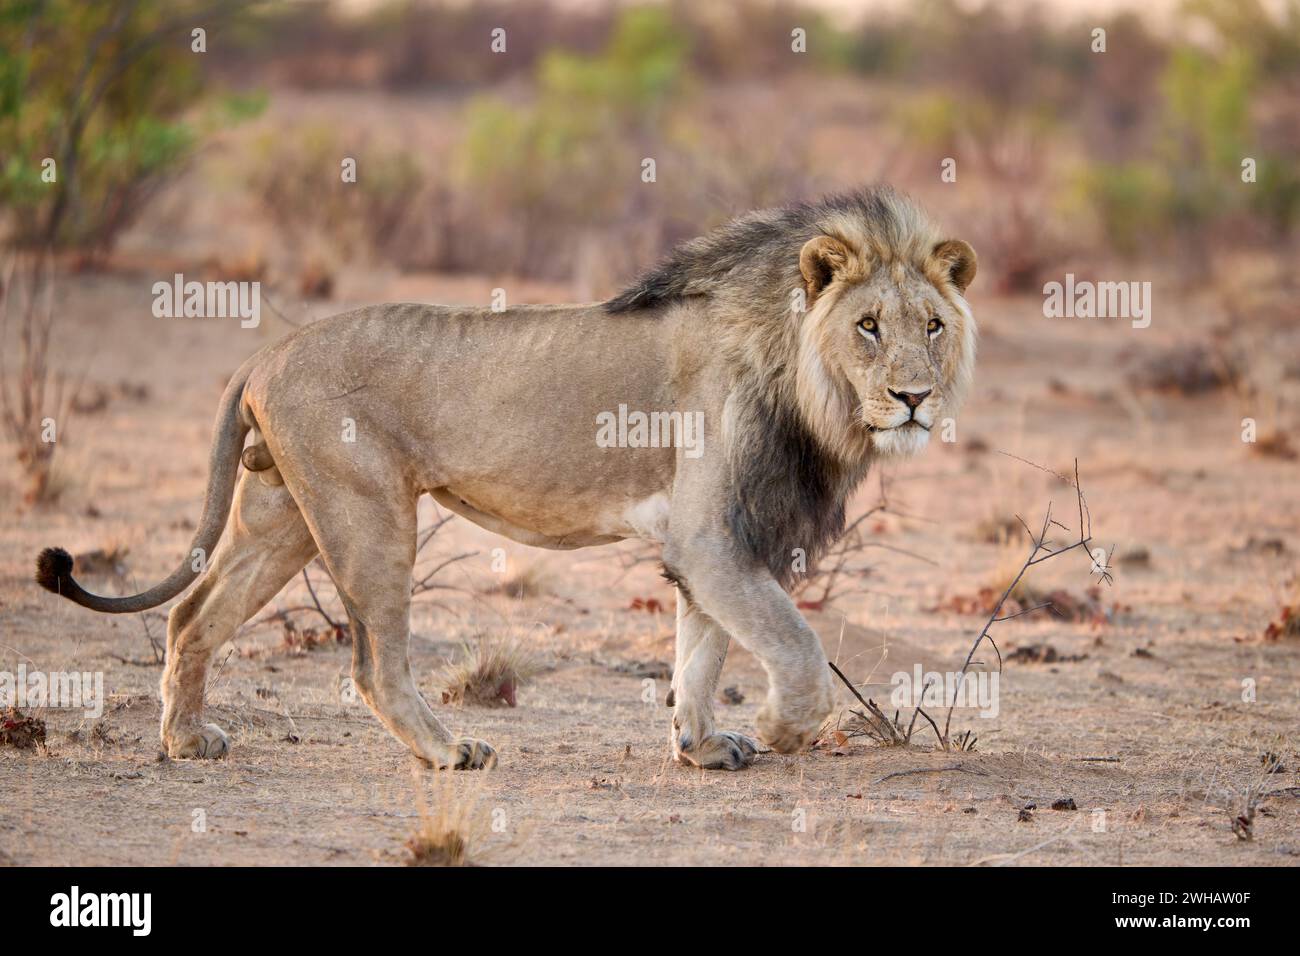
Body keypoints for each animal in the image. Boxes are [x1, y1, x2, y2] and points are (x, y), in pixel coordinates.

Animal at [35, 184, 977, 770]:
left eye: (932, 325)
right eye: (867, 326)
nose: (913, 398)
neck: (803, 381)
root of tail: (266, 352)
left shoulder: (718, 542)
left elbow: (702, 650)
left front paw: (702, 747)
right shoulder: (712, 539)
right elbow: (796, 644)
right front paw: (783, 727)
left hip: (283, 515)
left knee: (193, 614)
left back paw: (186, 742)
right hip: (369, 515)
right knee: (372, 663)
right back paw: (448, 751)